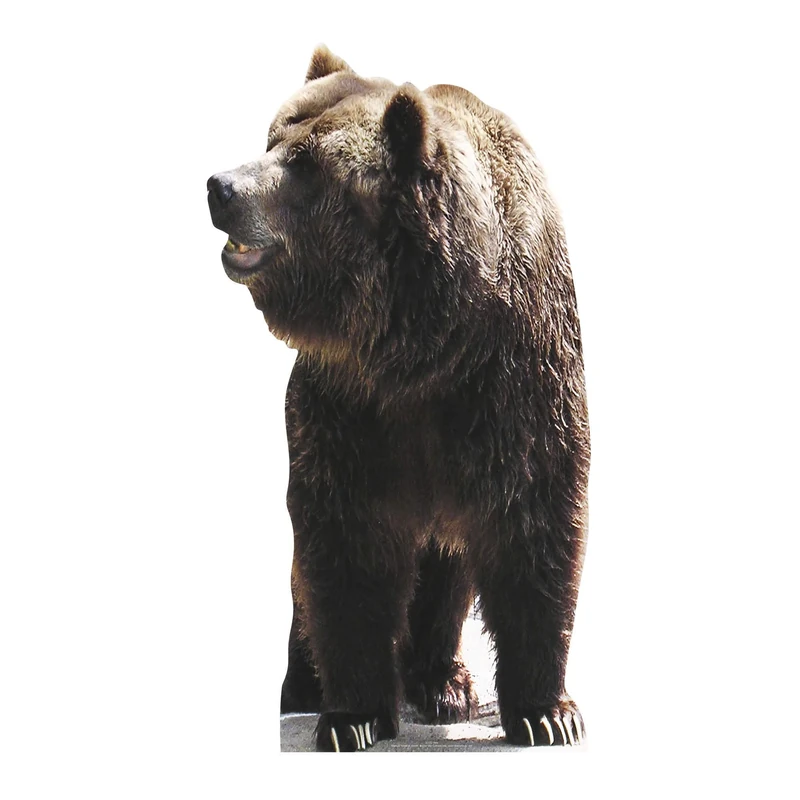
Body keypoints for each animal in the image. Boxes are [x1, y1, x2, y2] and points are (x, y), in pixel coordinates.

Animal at [207, 45, 590, 751]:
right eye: (273, 138)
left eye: (306, 162)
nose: (221, 186)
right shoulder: (346, 401)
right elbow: (344, 541)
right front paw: (350, 715)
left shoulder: (512, 376)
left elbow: (535, 515)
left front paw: (548, 712)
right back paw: (304, 684)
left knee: (446, 568)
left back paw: (444, 682)